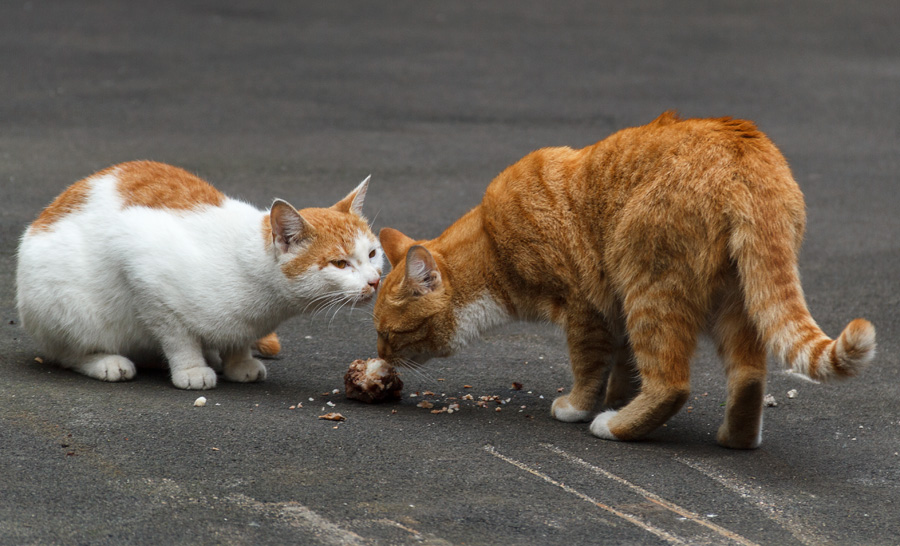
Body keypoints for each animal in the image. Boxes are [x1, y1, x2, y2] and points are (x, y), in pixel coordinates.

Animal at [17, 159, 384, 388]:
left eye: (372, 254)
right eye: (340, 264)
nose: (375, 281)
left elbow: (239, 339)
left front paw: (239, 361)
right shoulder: (142, 268)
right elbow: (177, 336)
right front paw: (191, 368)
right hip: (64, 302)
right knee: (65, 353)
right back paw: (105, 362)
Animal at [376, 111, 876, 446]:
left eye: (389, 333)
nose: (379, 357)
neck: (493, 243)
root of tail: (744, 154)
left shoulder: (585, 308)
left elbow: (588, 367)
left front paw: (580, 408)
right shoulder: (613, 310)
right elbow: (624, 365)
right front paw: (617, 395)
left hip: (650, 287)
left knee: (672, 384)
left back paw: (614, 427)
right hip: (737, 298)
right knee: (749, 375)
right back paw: (733, 439)